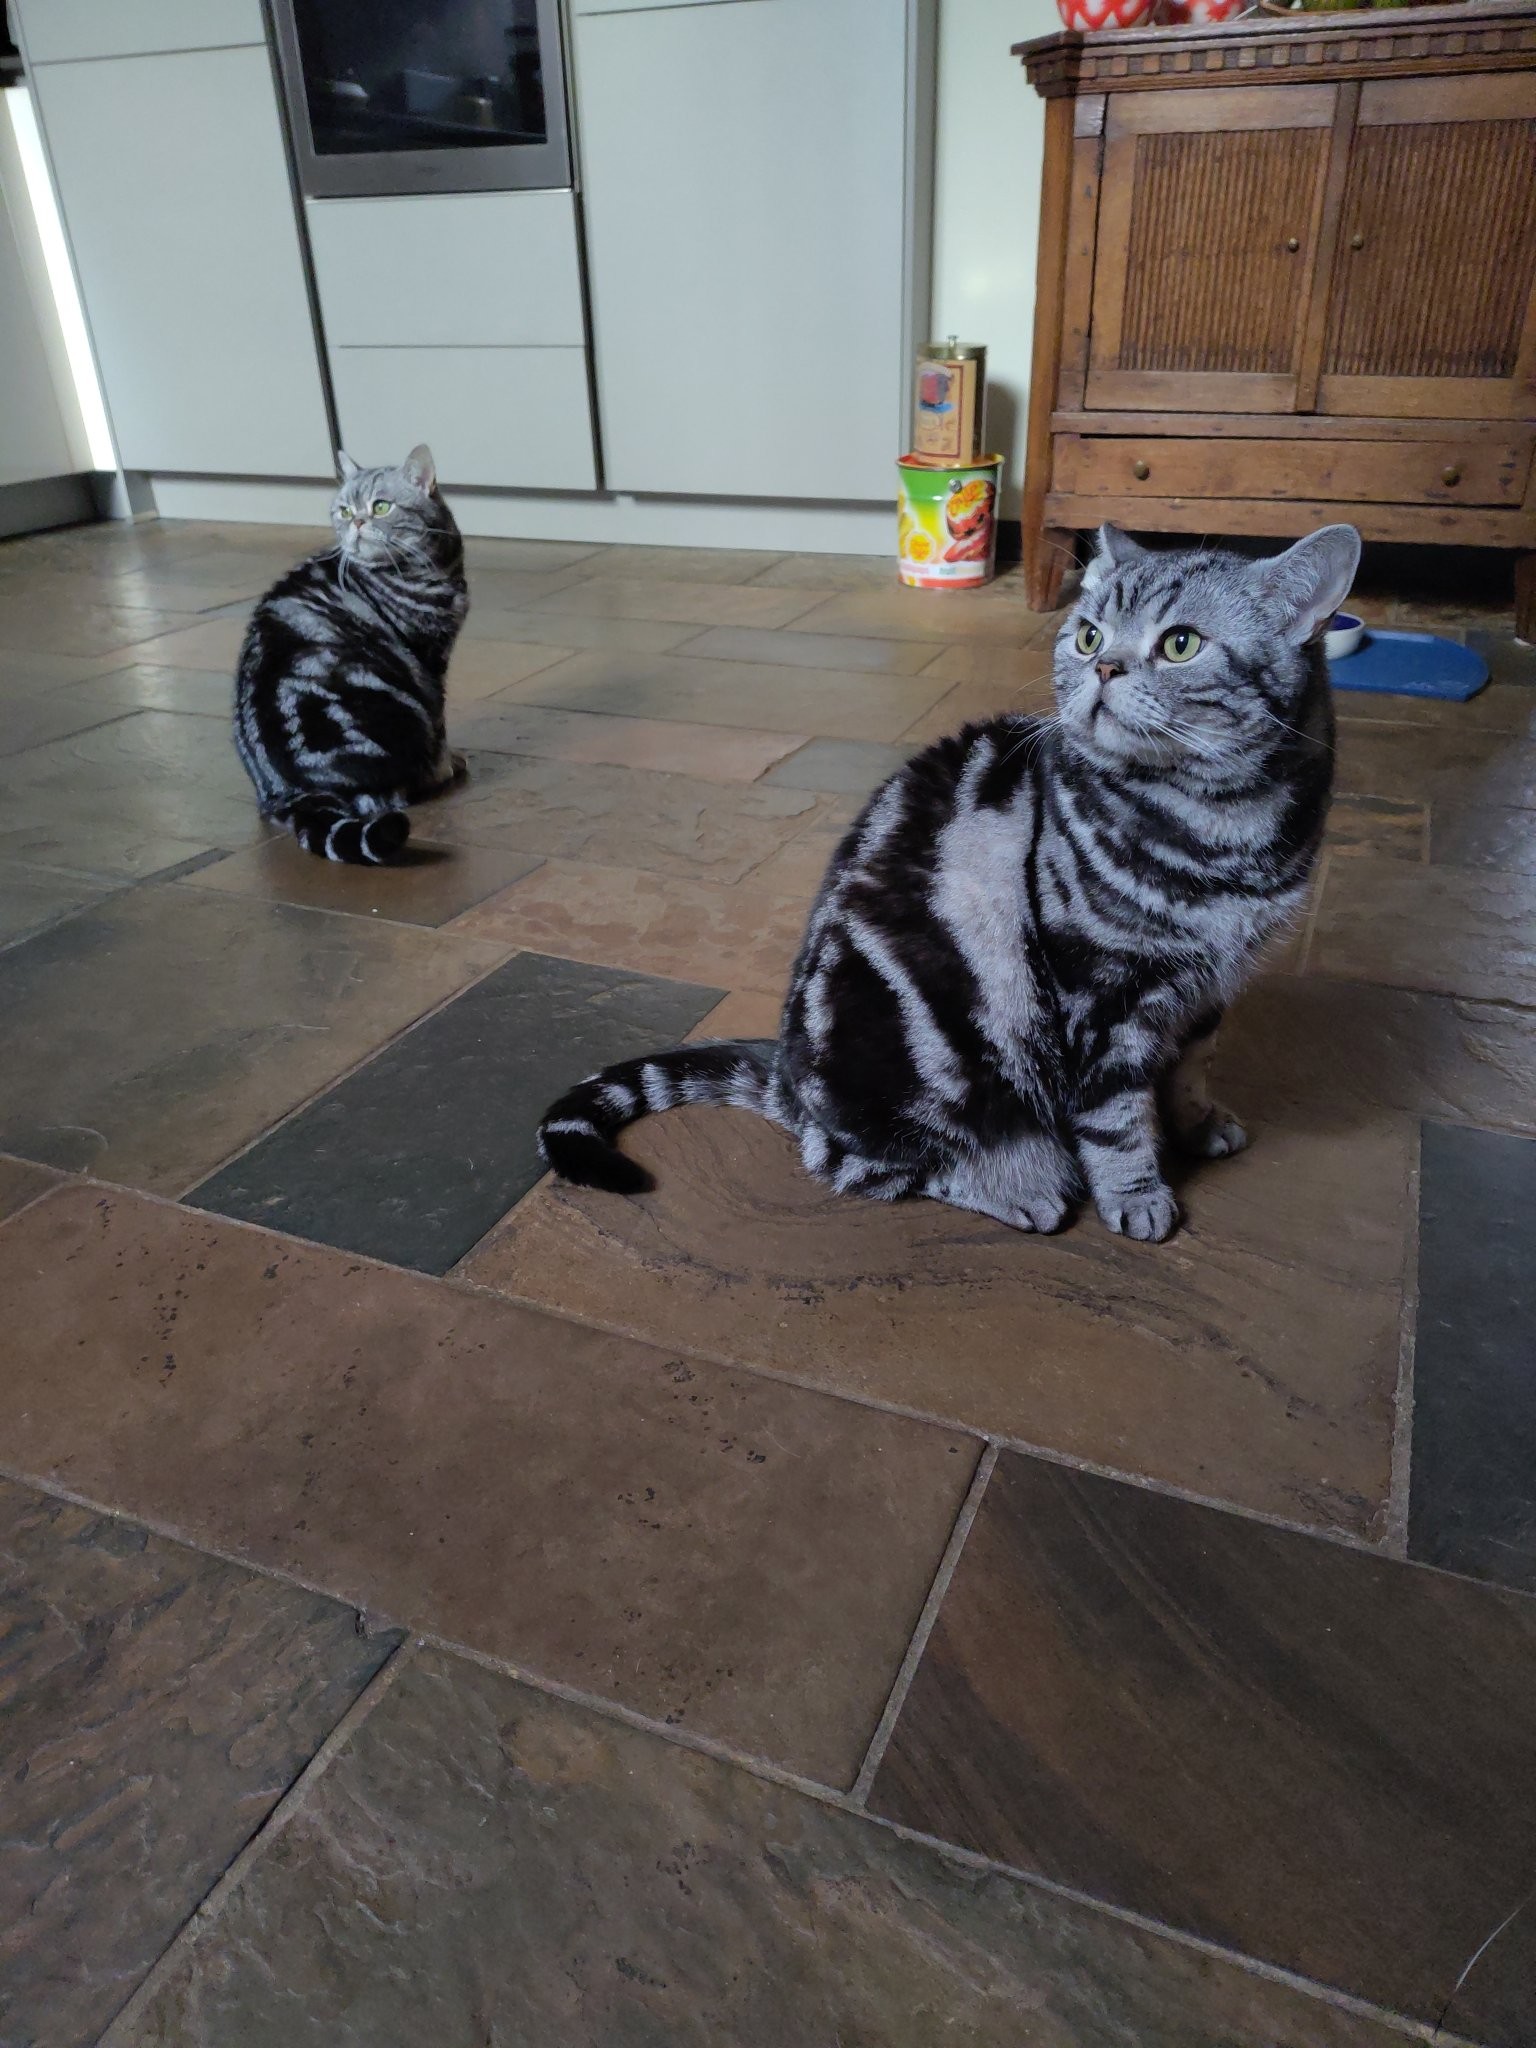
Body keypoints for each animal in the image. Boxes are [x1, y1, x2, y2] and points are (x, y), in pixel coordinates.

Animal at [233, 444, 468, 863]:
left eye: (381, 507)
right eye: (344, 511)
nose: (357, 522)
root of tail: (293, 791)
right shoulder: (429, 661)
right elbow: (439, 723)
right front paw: (447, 762)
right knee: (391, 795)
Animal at [537, 522, 1360, 1243]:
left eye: (1180, 644)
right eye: (1089, 635)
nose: (1103, 668)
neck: (1226, 829)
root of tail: (788, 1082)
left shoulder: (1208, 986)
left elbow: (1190, 1070)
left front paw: (1197, 1127)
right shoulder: (1102, 993)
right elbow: (1116, 1118)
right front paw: (1139, 1197)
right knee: (857, 1163)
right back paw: (1019, 1187)